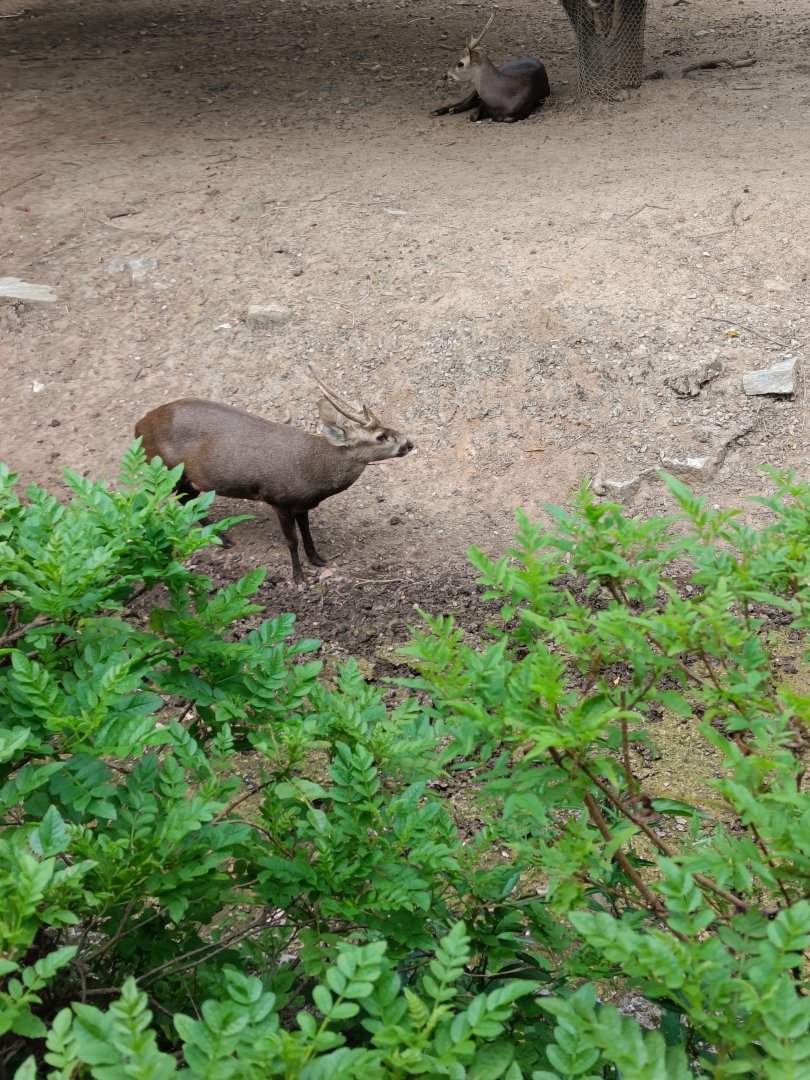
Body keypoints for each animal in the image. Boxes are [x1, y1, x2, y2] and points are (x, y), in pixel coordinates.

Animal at [134, 368, 414, 583]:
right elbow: (291, 541)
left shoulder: (302, 504)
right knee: (182, 499)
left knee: (188, 499)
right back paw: (223, 539)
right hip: (168, 468)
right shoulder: (278, 499)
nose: (409, 443)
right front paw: (298, 577)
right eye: (380, 436)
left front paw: (318, 559)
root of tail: (138, 426)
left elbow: (307, 533)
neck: (312, 472)